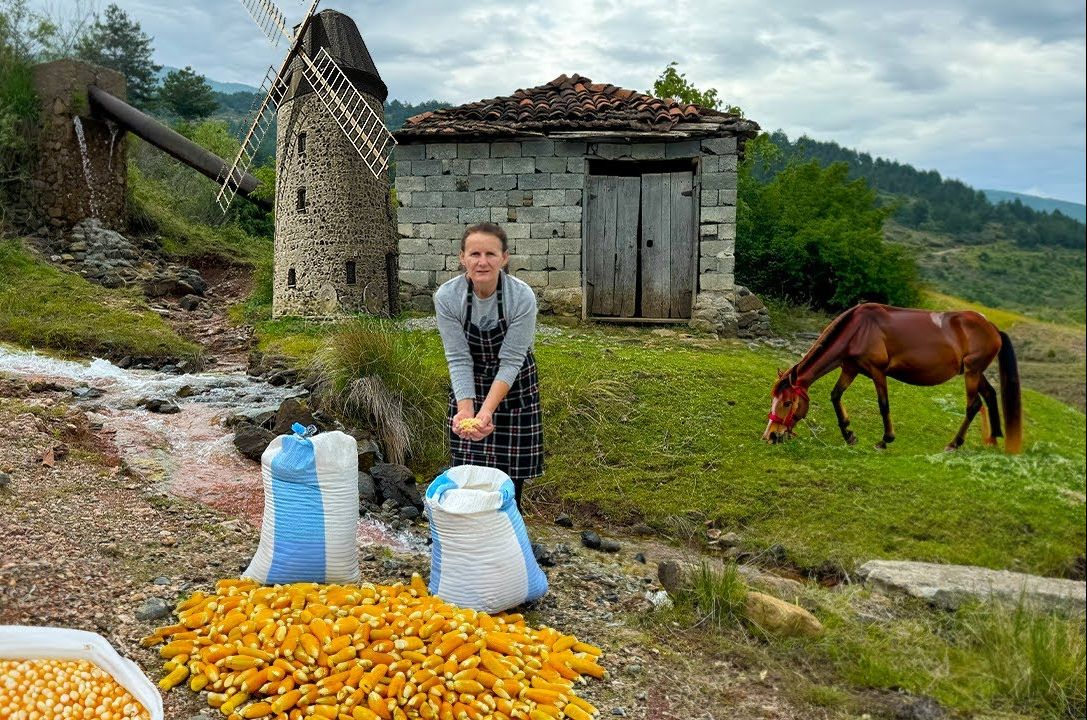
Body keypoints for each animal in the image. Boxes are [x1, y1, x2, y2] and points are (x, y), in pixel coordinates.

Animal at [760, 306, 1021, 454]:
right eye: (773, 400)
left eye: (787, 403)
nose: (770, 436)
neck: (858, 329)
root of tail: (993, 328)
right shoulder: (850, 368)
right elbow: (835, 396)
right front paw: (849, 434)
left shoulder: (877, 372)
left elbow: (883, 405)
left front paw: (885, 440)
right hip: (974, 372)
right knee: (990, 395)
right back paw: (994, 439)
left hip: (972, 373)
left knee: (973, 405)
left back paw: (954, 444)